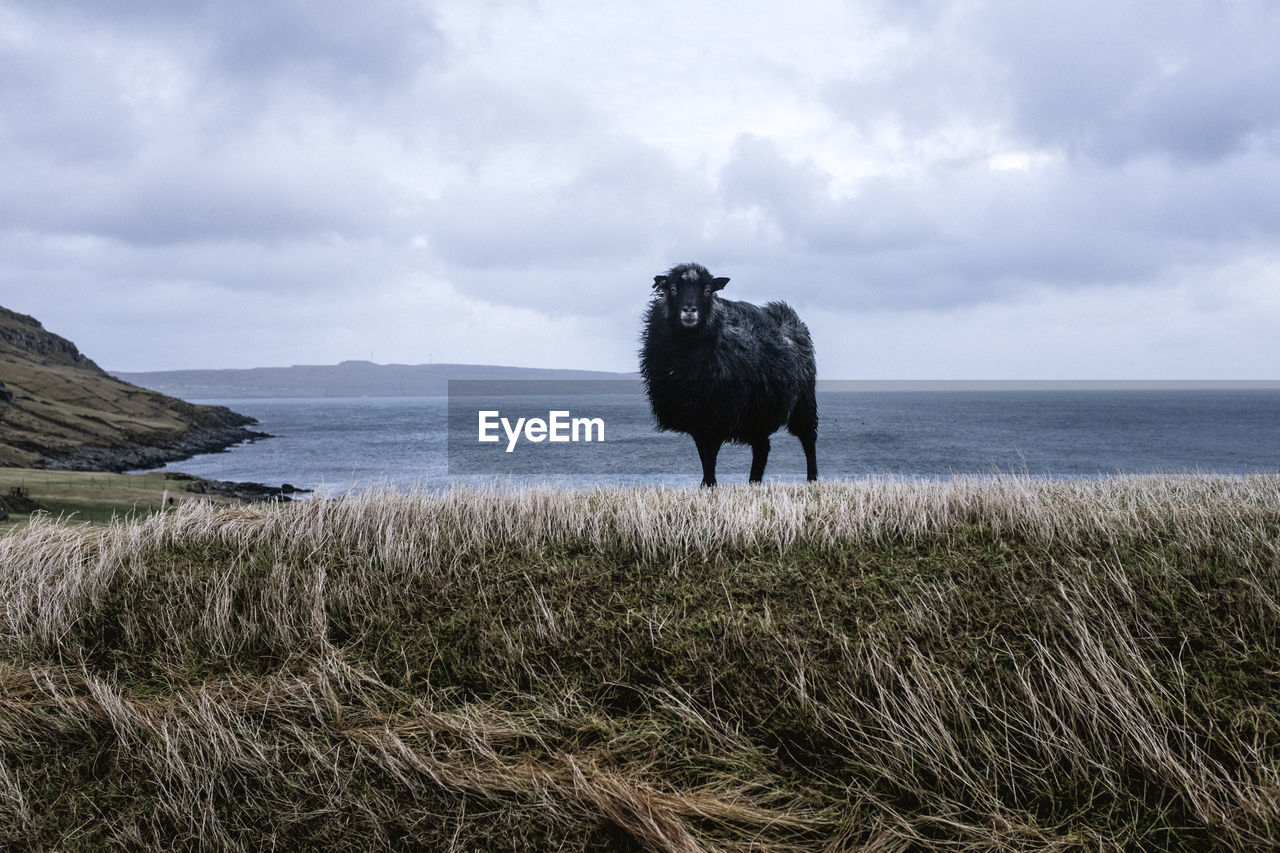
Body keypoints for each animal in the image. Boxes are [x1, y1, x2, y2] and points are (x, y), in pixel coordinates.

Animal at [640, 258, 819, 484]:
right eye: (672, 289)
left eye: (708, 290)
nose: (689, 310)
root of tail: (790, 315)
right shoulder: (695, 415)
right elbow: (703, 454)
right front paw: (707, 484)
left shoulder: (718, 412)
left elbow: (710, 454)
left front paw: (708, 484)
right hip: (757, 409)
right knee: (762, 447)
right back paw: (754, 482)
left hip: (803, 398)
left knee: (808, 438)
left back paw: (812, 478)